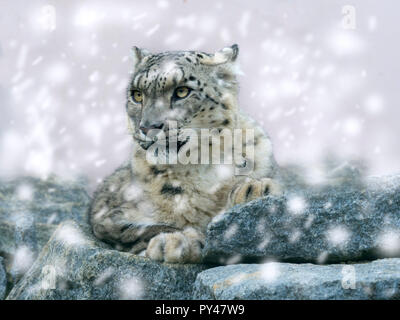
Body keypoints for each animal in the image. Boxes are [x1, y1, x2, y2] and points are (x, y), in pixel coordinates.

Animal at [88, 44, 282, 262]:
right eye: (137, 95)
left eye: (182, 91)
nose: (147, 127)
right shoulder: (107, 217)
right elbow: (139, 229)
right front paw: (177, 240)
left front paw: (255, 189)